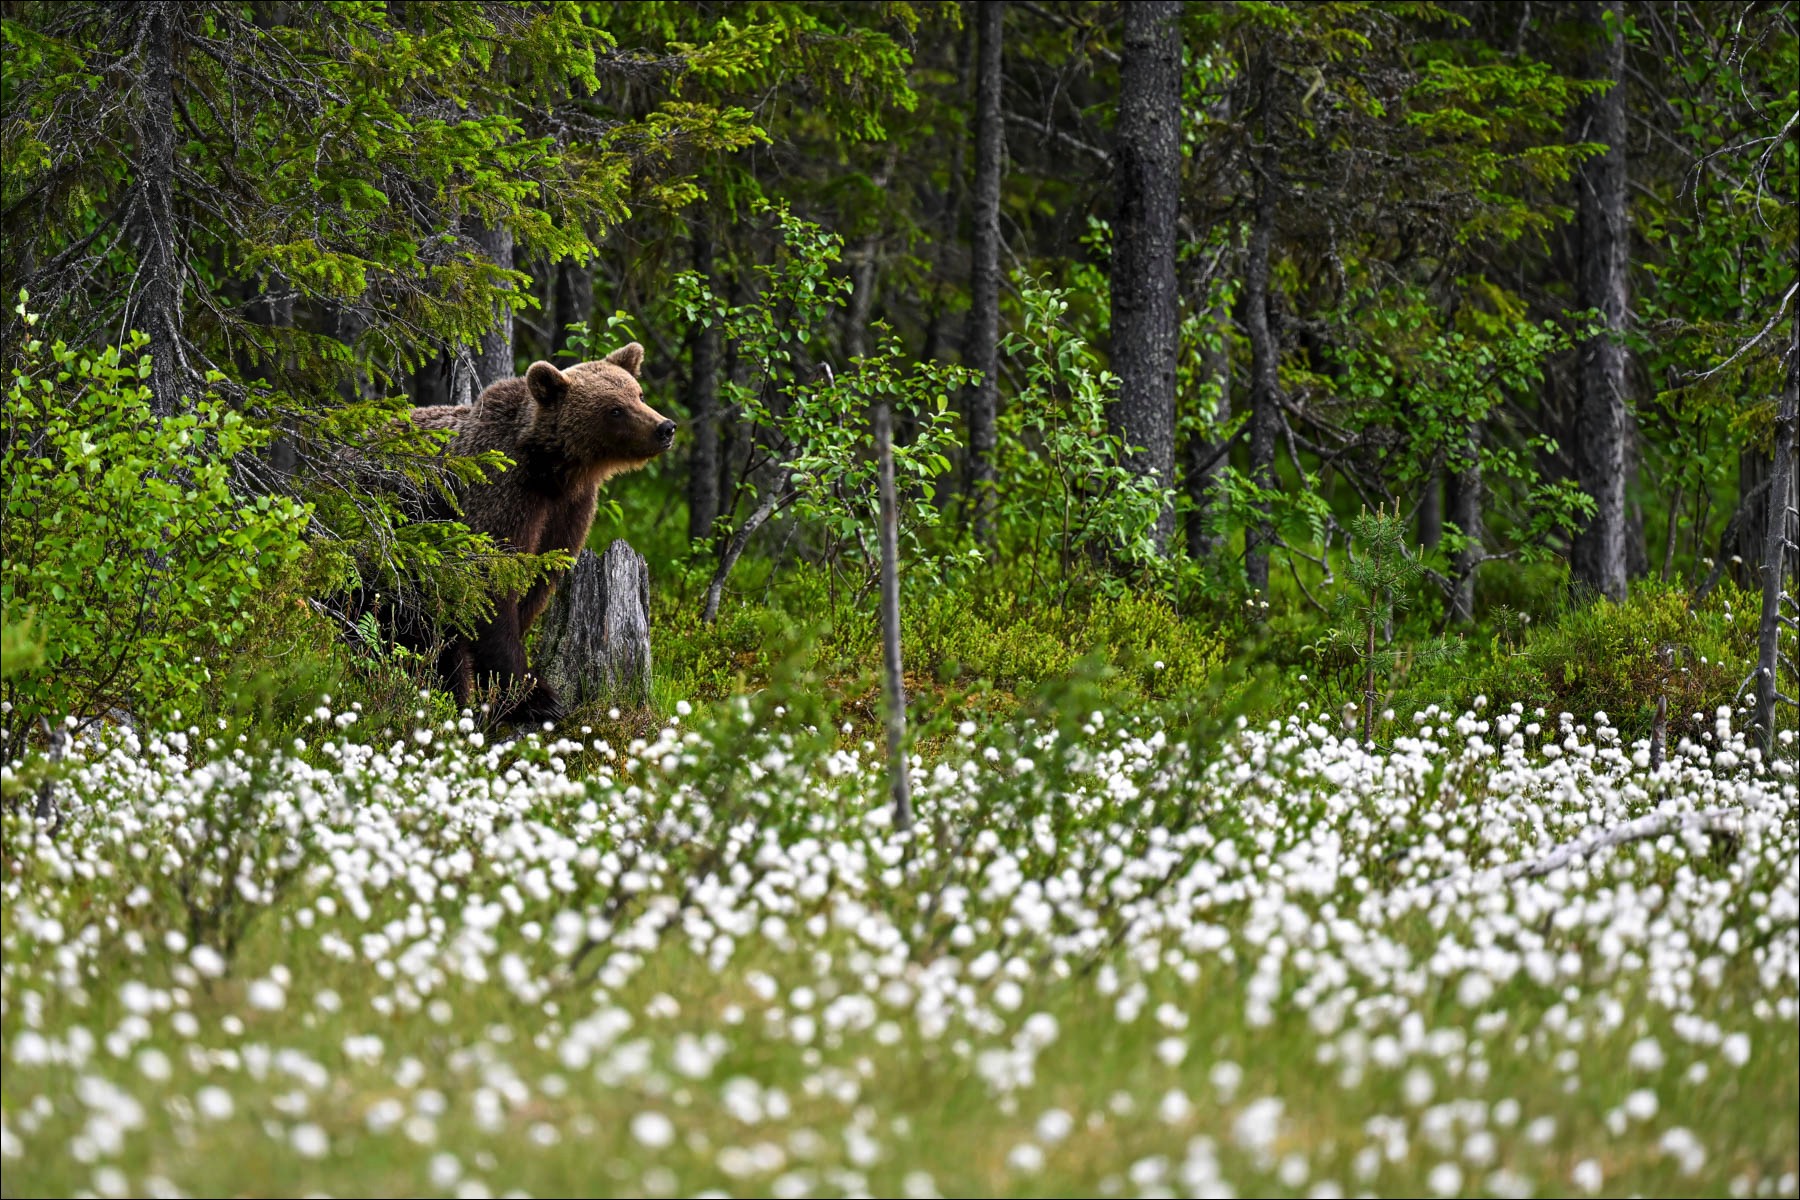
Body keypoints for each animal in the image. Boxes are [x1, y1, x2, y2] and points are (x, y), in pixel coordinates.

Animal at [408, 341, 676, 726]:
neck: (552, 471)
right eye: (615, 409)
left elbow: (539, 580)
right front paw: (536, 697)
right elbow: (490, 582)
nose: (665, 427)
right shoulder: (502, 492)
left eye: (638, 394)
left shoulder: (568, 510)